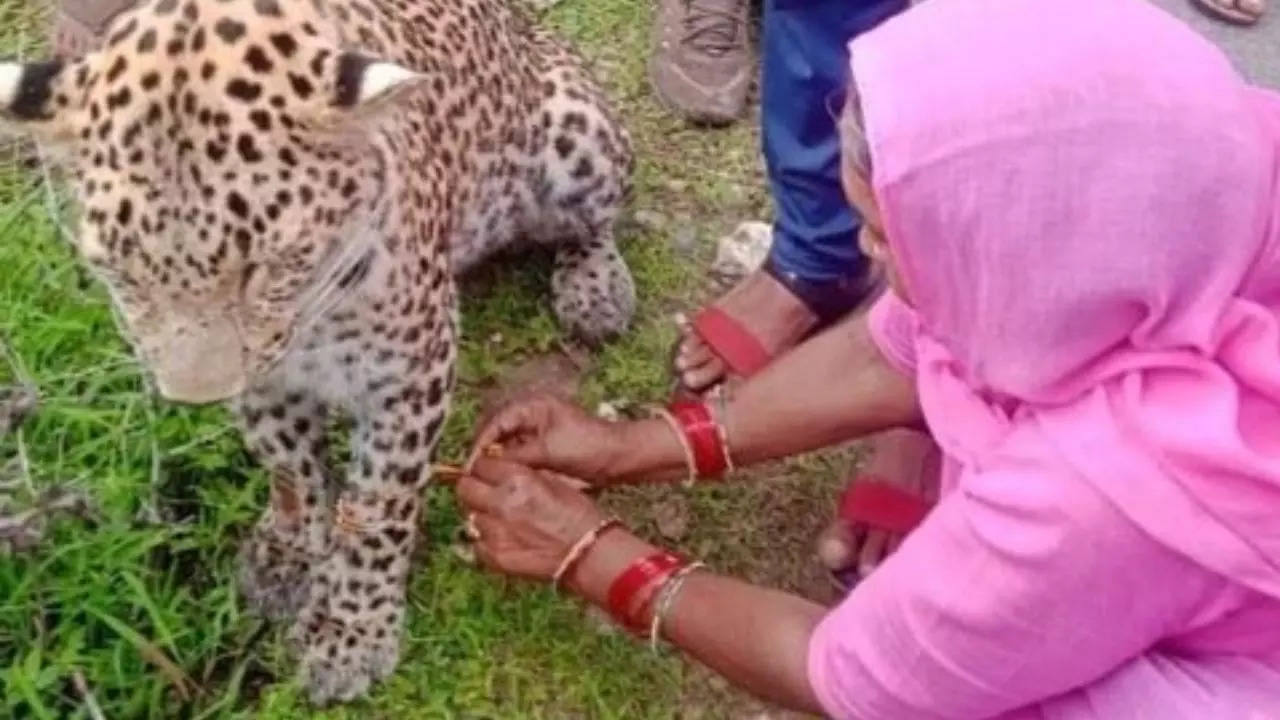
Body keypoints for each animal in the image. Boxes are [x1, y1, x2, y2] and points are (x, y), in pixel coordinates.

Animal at [0, 0, 634, 702]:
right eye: (122, 273)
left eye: (267, 266)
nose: (196, 397)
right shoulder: (266, 379)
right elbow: (289, 466)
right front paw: (289, 553)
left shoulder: (409, 372)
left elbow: (379, 507)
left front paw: (350, 631)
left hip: (578, 141)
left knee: (597, 221)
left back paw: (597, 289)